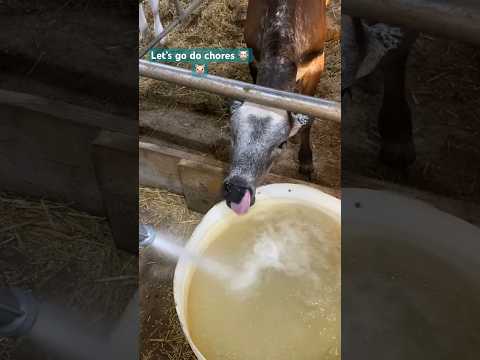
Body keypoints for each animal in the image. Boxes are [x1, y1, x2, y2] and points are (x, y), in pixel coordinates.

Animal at [223, 0, 328, 214]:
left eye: (282, 143)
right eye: (233, 134)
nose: (237, 192)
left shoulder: (317, 64)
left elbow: (309, 117)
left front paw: (306, 162)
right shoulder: (254, 58)